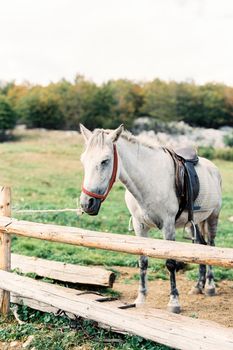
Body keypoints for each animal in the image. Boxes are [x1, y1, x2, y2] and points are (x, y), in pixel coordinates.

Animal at [79, 124, 222, 314]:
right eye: (83, 161)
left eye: (105, 161)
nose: (87, 203)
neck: (148, 180)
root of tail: (212, 168)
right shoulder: (140, 227)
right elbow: (143, 261)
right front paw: (140, 298)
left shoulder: (168, 227)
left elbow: (170, 263)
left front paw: (174, 303)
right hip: (194, 224)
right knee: (200, 247)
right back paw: (198, 286)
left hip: (213, 216)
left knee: (211, 246)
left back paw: (210, 286)